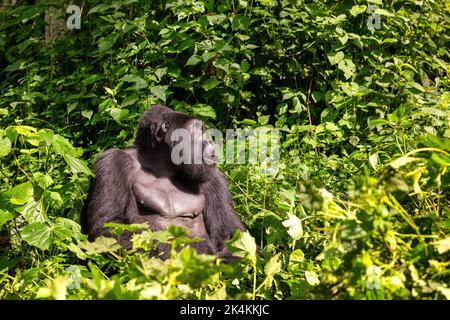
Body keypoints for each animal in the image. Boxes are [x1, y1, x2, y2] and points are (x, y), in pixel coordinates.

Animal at [82, 105, 248, 260]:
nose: (209, 141)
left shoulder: (213, 179)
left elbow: (230, 237)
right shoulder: (113, 160)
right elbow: (108, 228)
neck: (161, 168)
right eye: (199, 130)